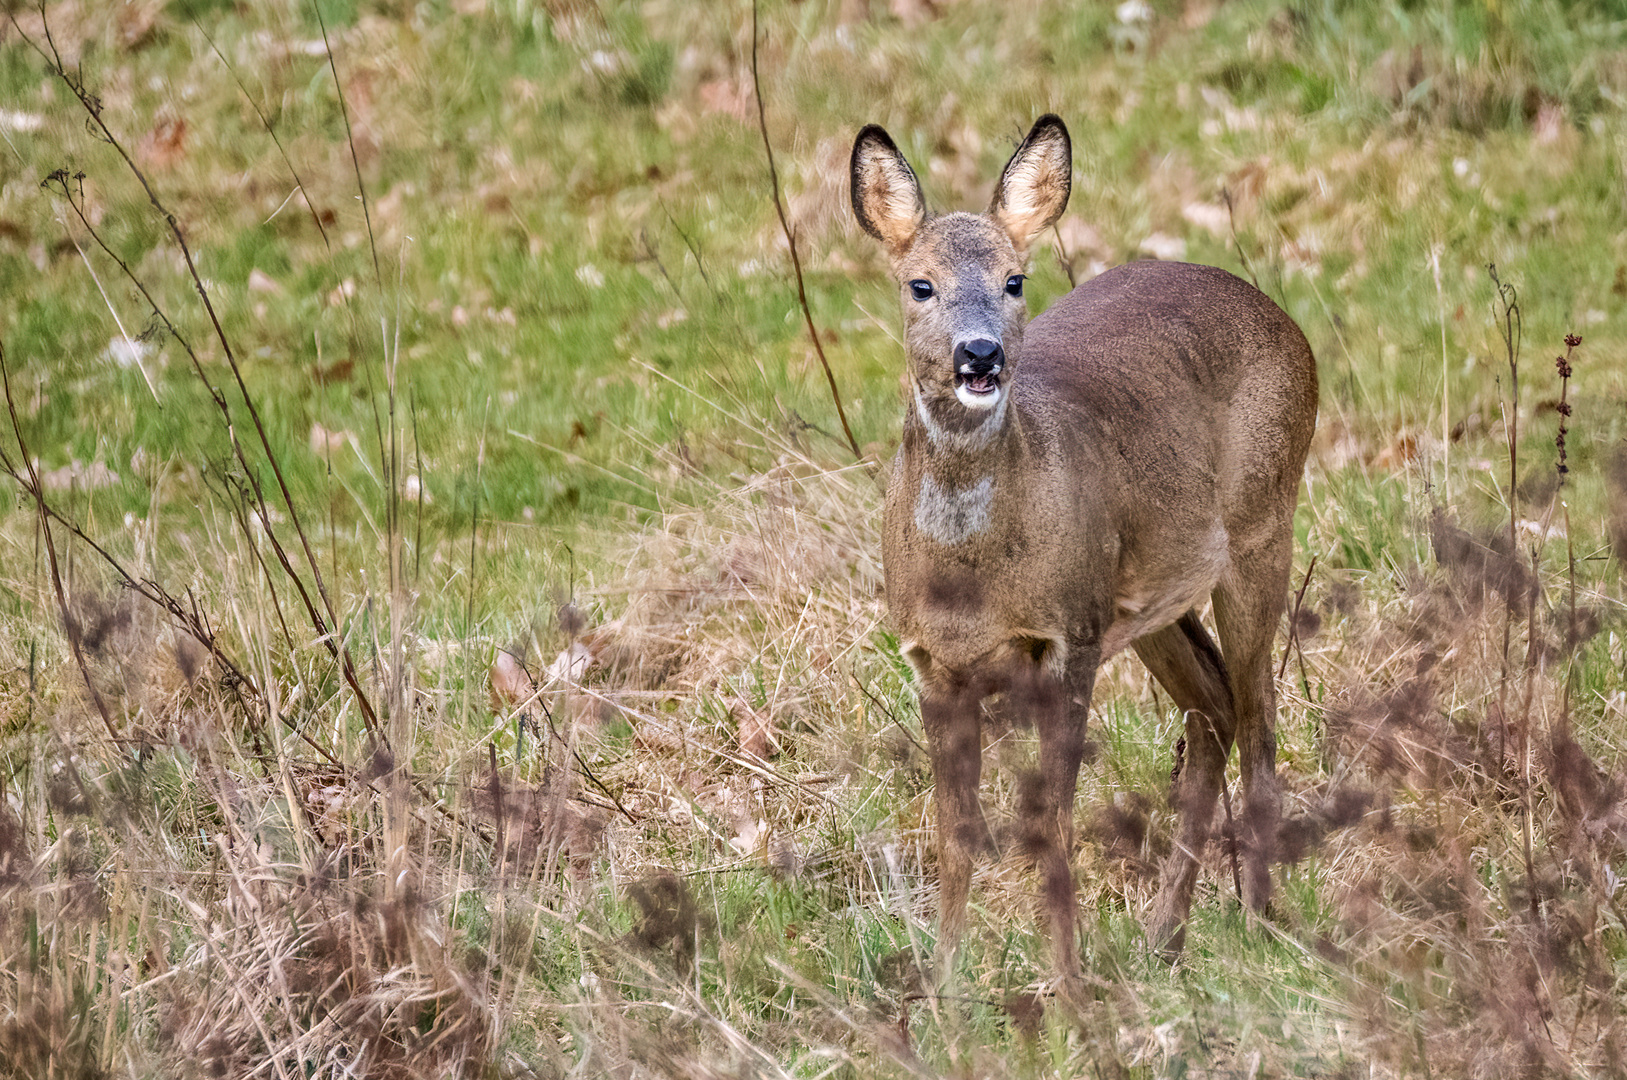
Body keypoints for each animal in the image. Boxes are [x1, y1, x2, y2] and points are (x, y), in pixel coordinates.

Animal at [859, 113, 1314, 975]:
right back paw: (1165, 934)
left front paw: (1067, 982)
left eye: (1014, 280)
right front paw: (945, 983)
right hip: (1146, 595)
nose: (980, 355)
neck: (972, 575)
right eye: (919, 284)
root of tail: (1281, 317)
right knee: (1213, 704)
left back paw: (1260, 918)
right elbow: (955, 833)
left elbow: (1052, 825)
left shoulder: (1066, 636)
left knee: (1259, 709)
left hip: (1261, 521)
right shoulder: (931, 659)